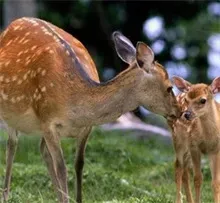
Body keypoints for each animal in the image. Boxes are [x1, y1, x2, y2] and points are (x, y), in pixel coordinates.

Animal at [0, 17, 180, 203]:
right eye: (169, 87)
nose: (180, 111)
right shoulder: (47, 120)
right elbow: (62, 168)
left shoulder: (86, 127)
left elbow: (79, 164)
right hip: (11, 112)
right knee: (12, 145)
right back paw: (6, 195)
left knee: (42, 150)